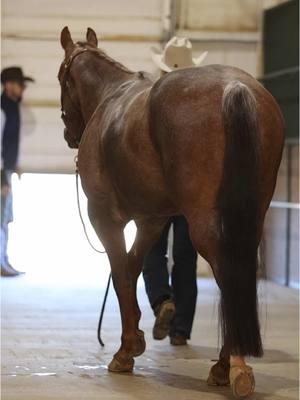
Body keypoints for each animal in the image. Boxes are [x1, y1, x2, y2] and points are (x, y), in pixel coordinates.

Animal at [58, 26, 284, 398]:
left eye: (62, 77)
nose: (68, 134)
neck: (110, 99)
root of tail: (236, 88)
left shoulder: (105, 218)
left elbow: (121, 275)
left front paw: (126, 351)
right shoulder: (151, 220)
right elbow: (133, 266)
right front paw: (135, 340)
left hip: (208, 226)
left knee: (228, 276)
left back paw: (231, 368)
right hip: (247, 219)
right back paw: (226, 366)